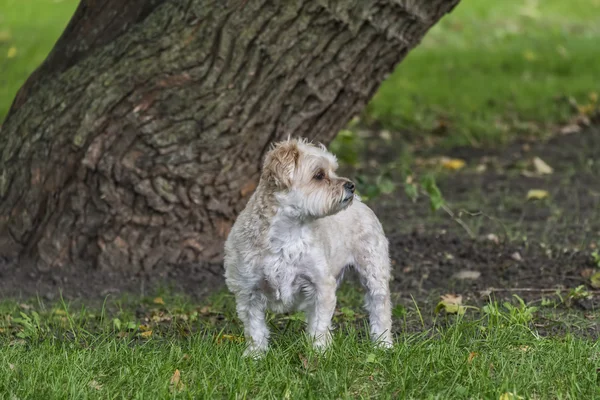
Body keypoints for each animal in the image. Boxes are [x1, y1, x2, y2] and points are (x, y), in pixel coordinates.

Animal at [223, 138, 392, 356]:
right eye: (319, 175)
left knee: (380, 307)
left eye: (333, 170)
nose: (351, 185)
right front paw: (255, 355)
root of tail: (360, 202)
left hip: (373, 271)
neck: (288, 234)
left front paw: (319, 351)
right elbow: (255, 328)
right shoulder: (248, 290)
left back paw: (383, 344)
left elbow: (319, 324)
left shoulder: (321, 286)